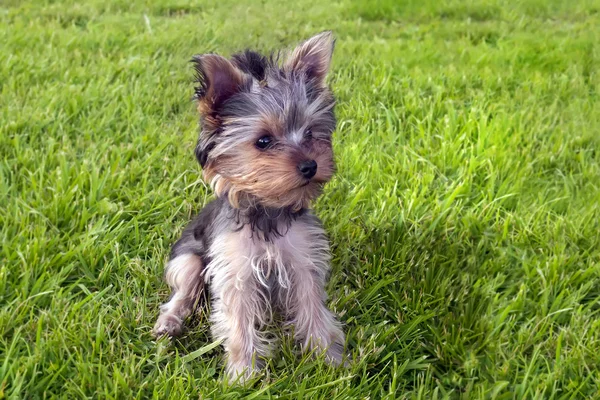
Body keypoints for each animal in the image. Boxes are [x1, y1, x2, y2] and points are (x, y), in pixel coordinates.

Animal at [152, 31, 344, 382]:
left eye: (311, 133)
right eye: (263, 141)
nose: (310, 165)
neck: (268, 209)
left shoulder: (303, 262)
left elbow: (313, 308)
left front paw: (332, 361)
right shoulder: (235, 269)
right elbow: (239, 321)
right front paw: (243, 375)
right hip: (188, 259)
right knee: (183, 291)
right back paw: (169, 323)